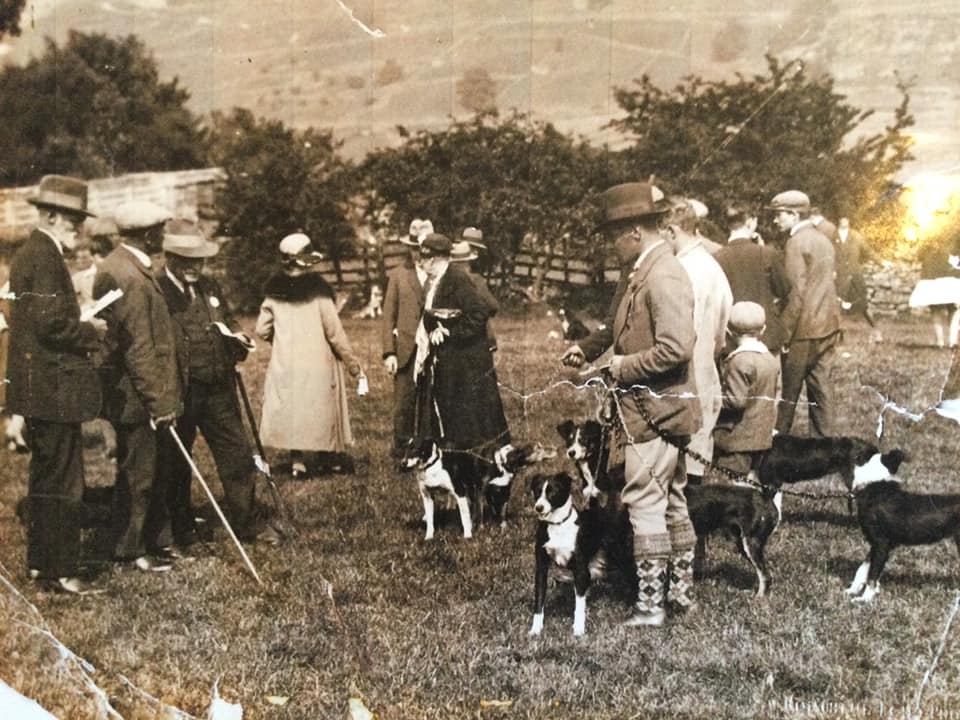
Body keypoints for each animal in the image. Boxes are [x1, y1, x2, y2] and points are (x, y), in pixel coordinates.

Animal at [529, 472, 633, 637]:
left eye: (553, 491)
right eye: (538, 491)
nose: (539, 507)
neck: (557, 525)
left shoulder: (579, 568)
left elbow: (579, 605)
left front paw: (578, 629)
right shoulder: (541, 567)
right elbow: (539, 600)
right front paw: (536, 629)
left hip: (621, 554)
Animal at [843, 448, 957, 603]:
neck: (876, 485)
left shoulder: (881, 543)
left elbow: (872, 574)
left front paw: (865, 599)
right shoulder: (879, 544)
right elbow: (863, 568)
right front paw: (852, 590)